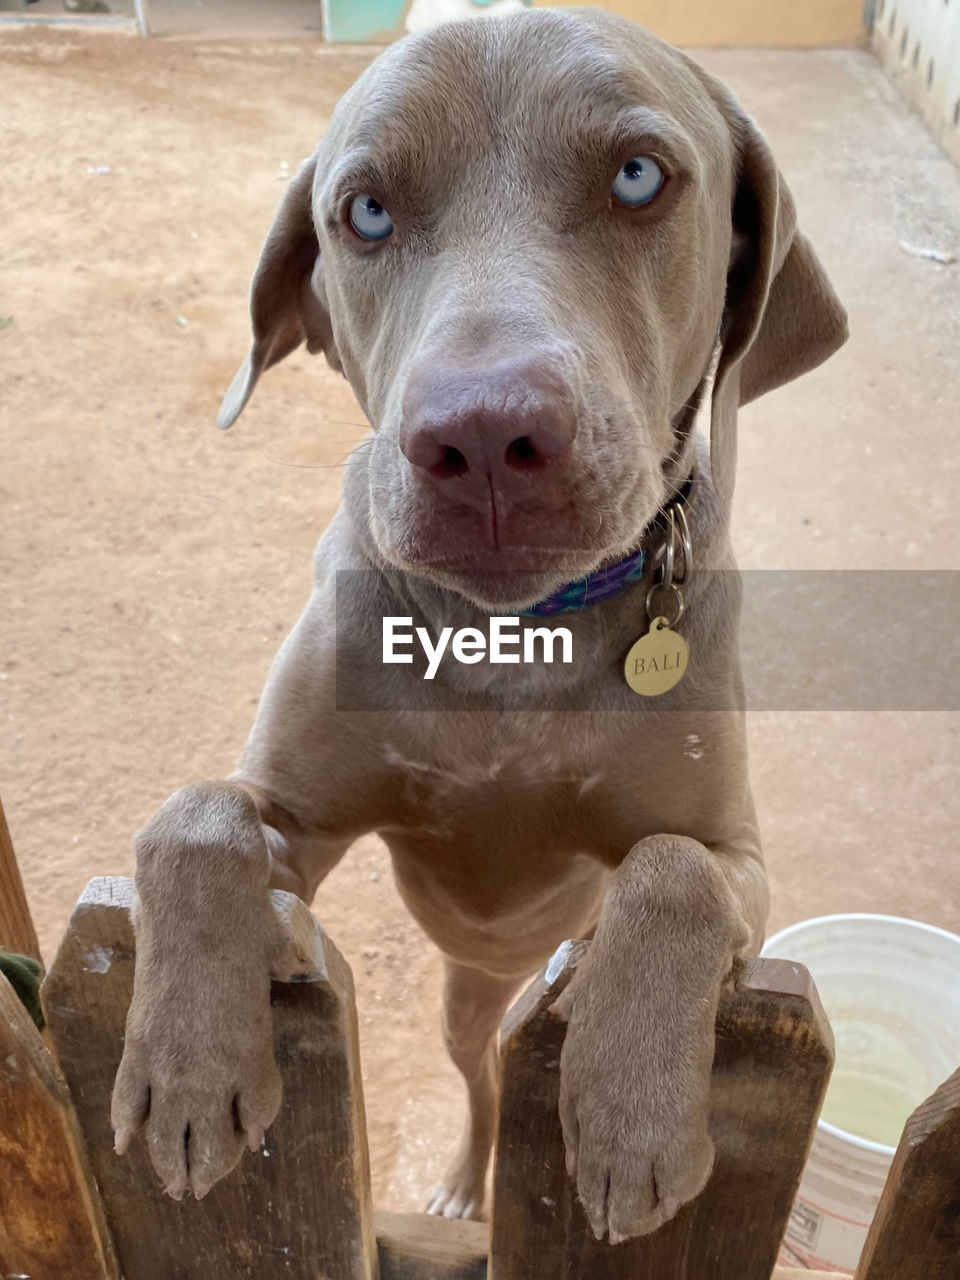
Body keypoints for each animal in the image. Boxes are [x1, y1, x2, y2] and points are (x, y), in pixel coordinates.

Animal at [114, 7, 849, 1239]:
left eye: (639, 177)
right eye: (366, 210)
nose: (486, 436)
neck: (514, 642)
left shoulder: (738, 854)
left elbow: (673, 871)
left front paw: (635, 1115)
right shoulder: (295, 818)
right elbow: (196, 814)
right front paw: (186, 1065)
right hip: (463, 999)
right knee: (481, 1087)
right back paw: (462, 1186)